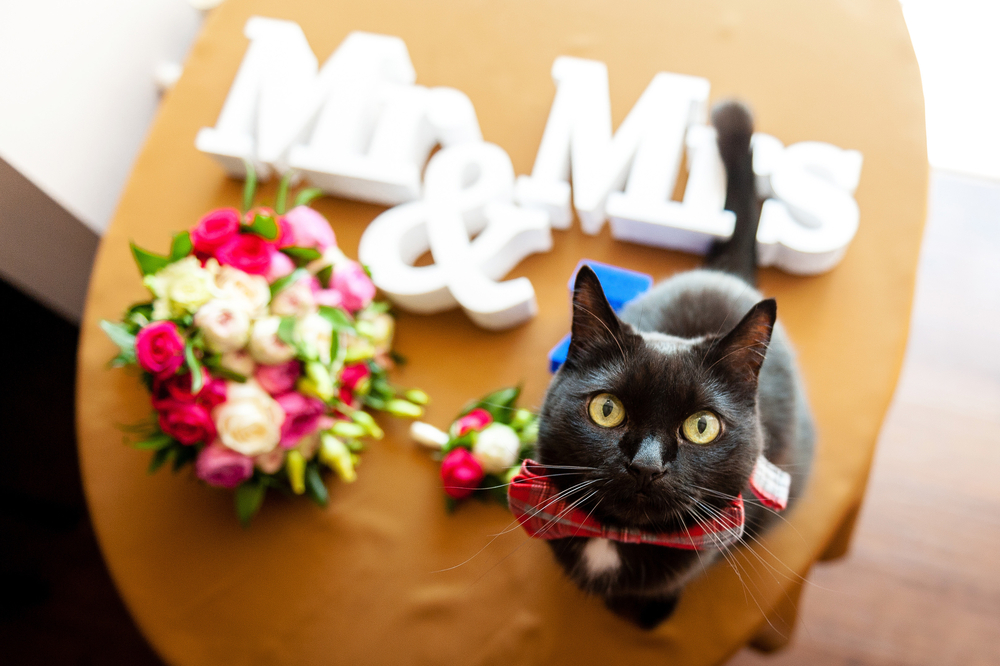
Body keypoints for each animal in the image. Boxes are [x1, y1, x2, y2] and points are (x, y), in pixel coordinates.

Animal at [524, 101, 812, 624]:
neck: (613, 541)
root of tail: (725, 274)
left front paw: (648, 613)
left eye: (702, 426)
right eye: (606, 410)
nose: (646, 466)